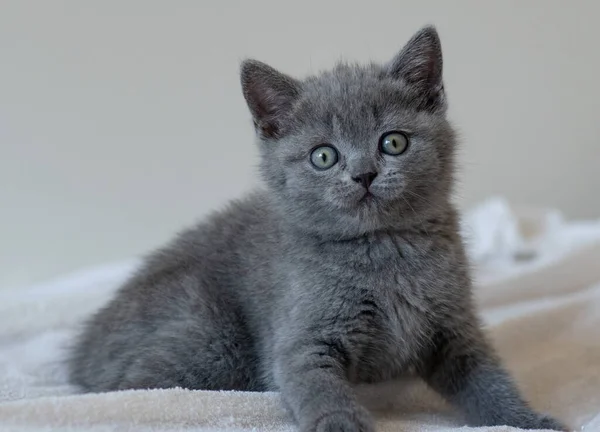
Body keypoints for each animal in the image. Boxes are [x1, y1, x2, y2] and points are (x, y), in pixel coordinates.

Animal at [68, 27, 564, 432]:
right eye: (323, 156)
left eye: (394, 142)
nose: (364, 174)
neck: (384, 250)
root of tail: (80, 355)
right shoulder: (300, 339)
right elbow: (317, 386)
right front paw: (343, 425)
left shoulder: (453, 327)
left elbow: (488, 380)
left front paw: (527, 420)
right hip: (207, 337)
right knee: (134, 390)